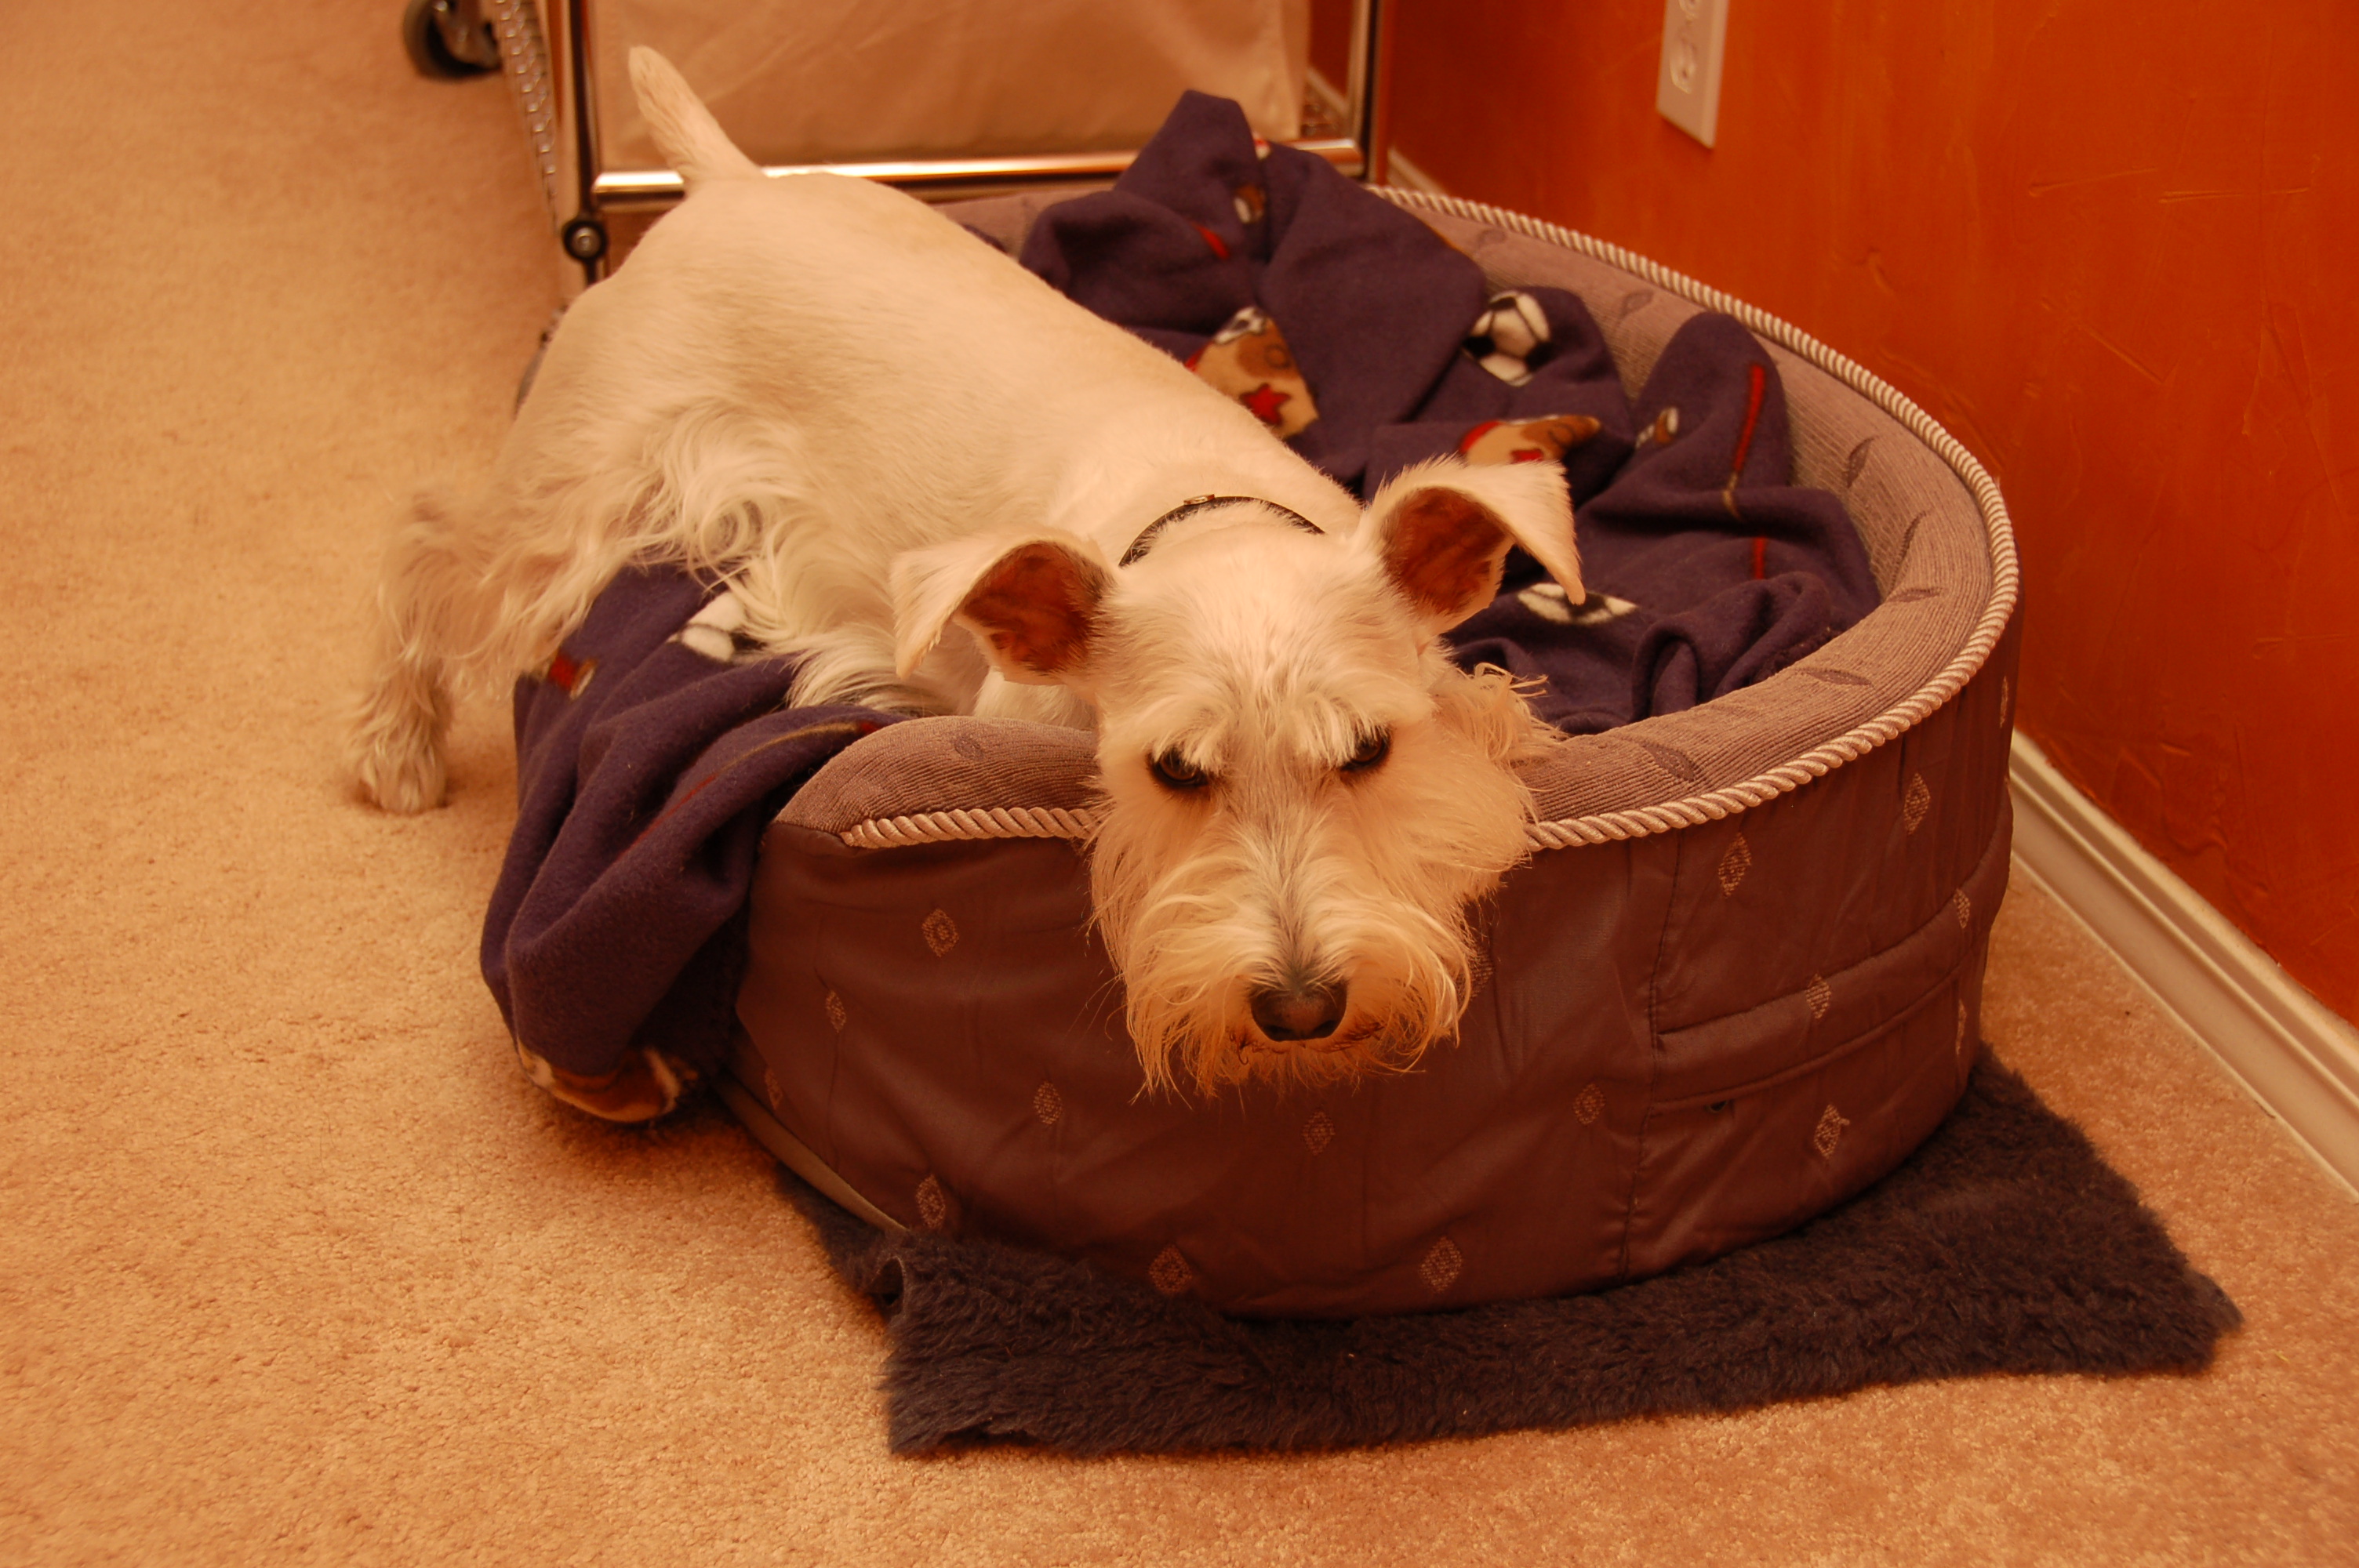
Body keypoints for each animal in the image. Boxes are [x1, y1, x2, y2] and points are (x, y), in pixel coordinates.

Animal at [352, 48, 1585, 1100]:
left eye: (1368, 751)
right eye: (1172, 771)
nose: (1299, 1010)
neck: (1207, 513)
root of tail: (726, 185)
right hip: (569, 498)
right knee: (424, 548)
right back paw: (392, 747)